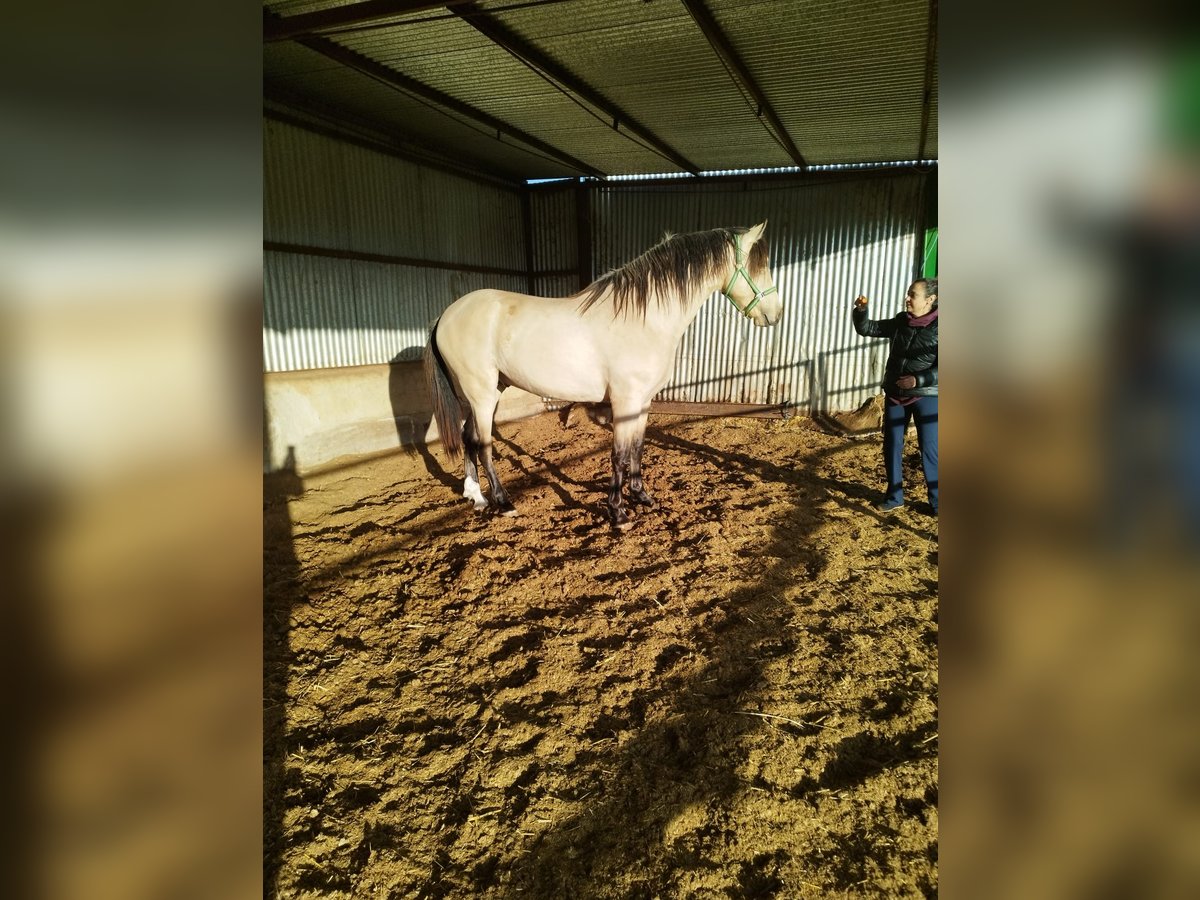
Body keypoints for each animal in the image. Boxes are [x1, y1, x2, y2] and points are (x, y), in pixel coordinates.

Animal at [427, 224, 782, 528]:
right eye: (757, 266)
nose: (775, 315)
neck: (645, 318)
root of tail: (446, 315)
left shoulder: (642, 401)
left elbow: (637, 448)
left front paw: (642, 497)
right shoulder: (624, 401)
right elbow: (619, 454)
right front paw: (618, 512)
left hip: (483, 394)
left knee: (468, 438)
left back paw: (476, 497)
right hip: (482, 394)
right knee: (484, 444)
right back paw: (503, 502)